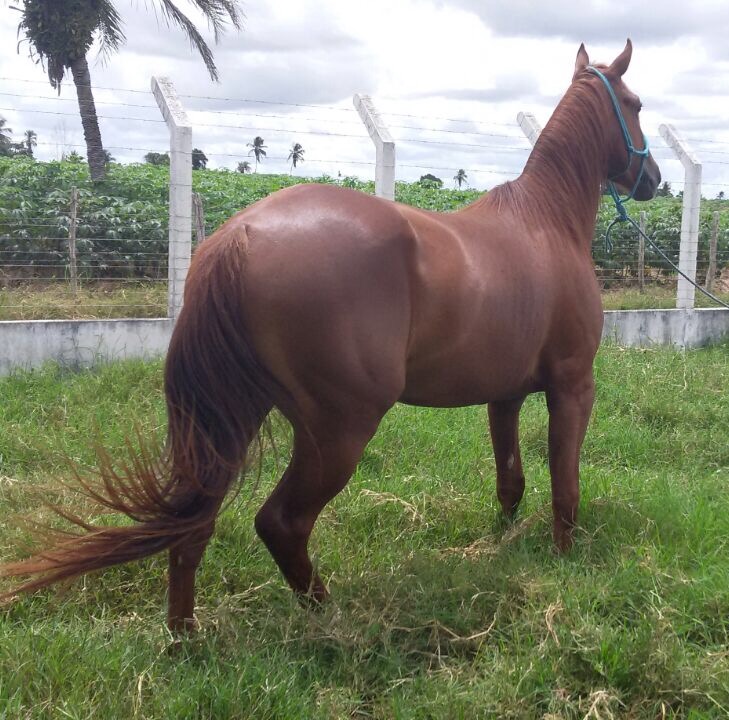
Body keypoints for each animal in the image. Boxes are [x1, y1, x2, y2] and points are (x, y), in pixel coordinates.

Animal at [0, 40, 660, 632]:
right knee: (281, 523)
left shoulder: (506, 394)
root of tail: (239, 235)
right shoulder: (572, 385)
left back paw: (186, 638)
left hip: (233, 420)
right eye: (635, 103)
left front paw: (504, 541)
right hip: (337, 430)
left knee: (195, 523)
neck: (544, 223)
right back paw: (329, 616)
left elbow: (511, 480)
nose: (652, 177)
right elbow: (564, 482)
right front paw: (564, 558)